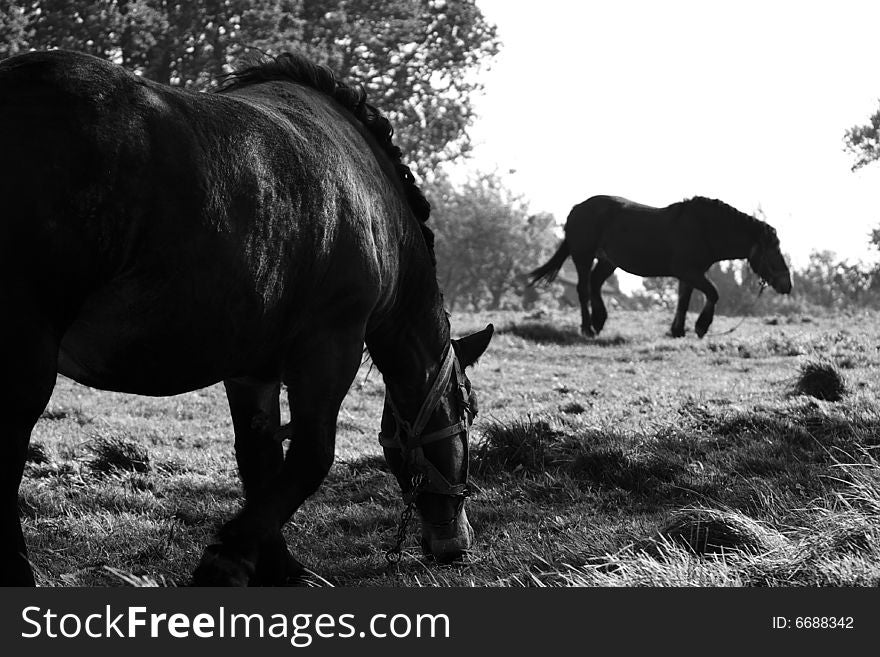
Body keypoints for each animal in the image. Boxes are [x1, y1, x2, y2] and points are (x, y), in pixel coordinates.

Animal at [0, 50, 496, 584]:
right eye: (468, 409)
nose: (455, 542)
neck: (374, 200)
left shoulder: (252, 371)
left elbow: (259, 463)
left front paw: (277, 564)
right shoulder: (330, 345)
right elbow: (311, 457)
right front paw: (228, 557)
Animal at [524, 193, 796, 338]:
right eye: (773, 251)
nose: (787, 284)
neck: (705, 229)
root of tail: (576, 209)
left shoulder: (690, 273)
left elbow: (684, 300)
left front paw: (678, 330)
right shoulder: (689, 271)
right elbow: (713, 293)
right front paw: (701, 326)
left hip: (608, 261)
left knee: (595, 284)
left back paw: (599, 322)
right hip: (583, 255)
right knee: (583, 289)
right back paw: (588, 328)